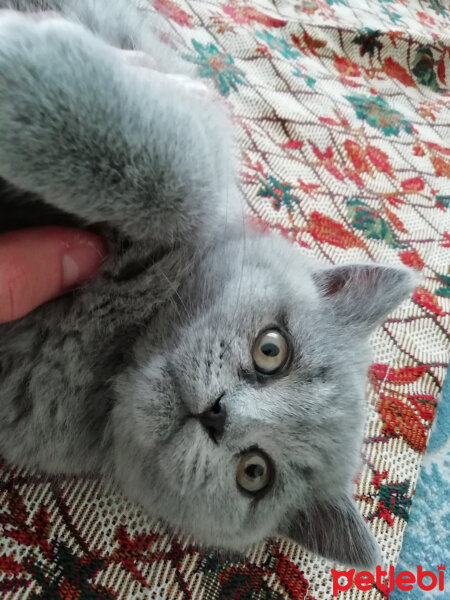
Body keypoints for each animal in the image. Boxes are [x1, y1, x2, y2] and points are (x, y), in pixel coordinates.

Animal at [0, 0, 416, 568]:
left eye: (254, 472)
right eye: (272, 349)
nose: (218, 415)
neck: (116, 345)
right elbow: (182, 175)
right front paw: (22, 73)